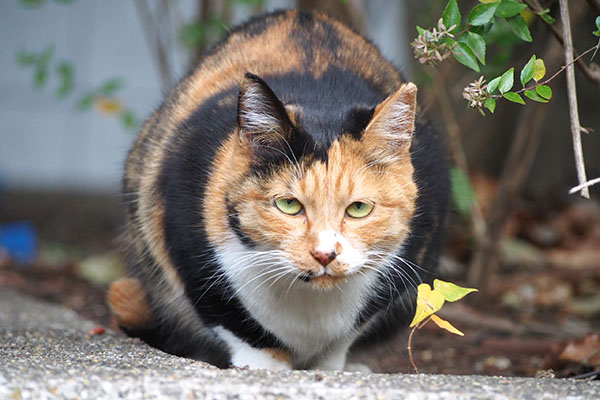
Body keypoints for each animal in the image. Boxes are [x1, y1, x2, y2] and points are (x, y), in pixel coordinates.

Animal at [108, 10, 448, 372]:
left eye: (358, 208)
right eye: (288, 205)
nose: (325, 254)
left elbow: (342, 340)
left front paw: (330, 368)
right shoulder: (181, 229)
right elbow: (233, 320)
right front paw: (266, 368)